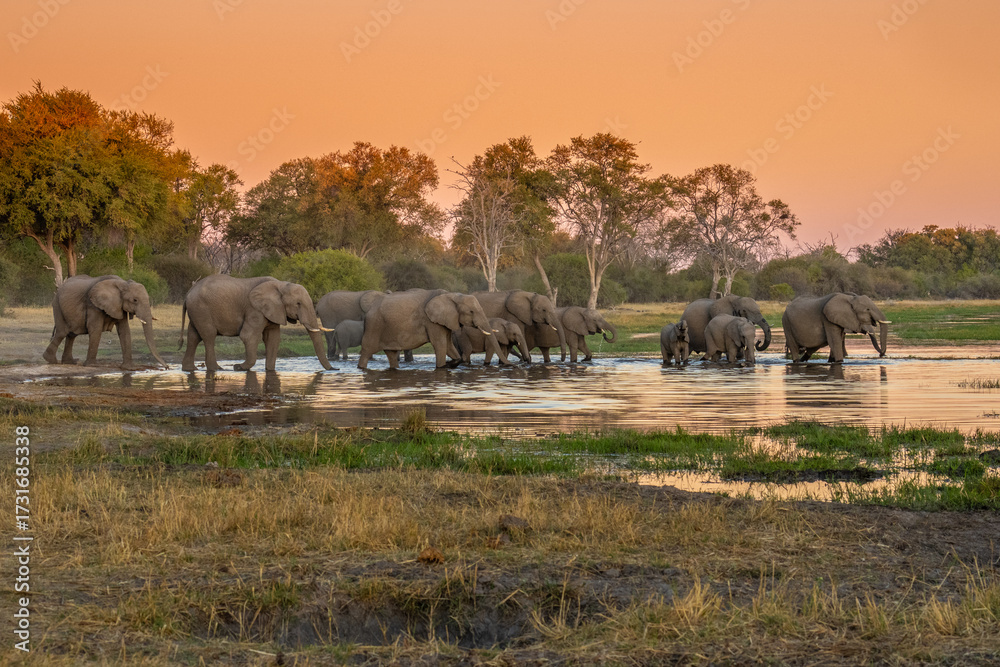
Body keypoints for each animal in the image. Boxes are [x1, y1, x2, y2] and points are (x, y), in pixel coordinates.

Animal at [180, 275, 333, 372]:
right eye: (298, 304)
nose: (334, 369)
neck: (281, 285)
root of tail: (188, 294)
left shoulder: (274, 310)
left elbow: (273, 338)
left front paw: (269, 370)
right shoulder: (255, 309)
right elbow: (248, 336)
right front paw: (239, 367)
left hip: (196, 311)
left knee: (194, 336)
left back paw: (190, 369)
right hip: (201, 309)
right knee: (209, 336)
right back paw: (216, 369)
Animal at [358, 289, 508, 369]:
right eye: (471, 311)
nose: (509, 364)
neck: (451, 296)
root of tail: (370, 308)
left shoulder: (445, 321)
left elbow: (449, 345)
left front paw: (450, 364)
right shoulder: (432, 321)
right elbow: (440, 344)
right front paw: (441, 367)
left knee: (391, 355)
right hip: (374, 325)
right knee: (366, 351)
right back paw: (361, 368)